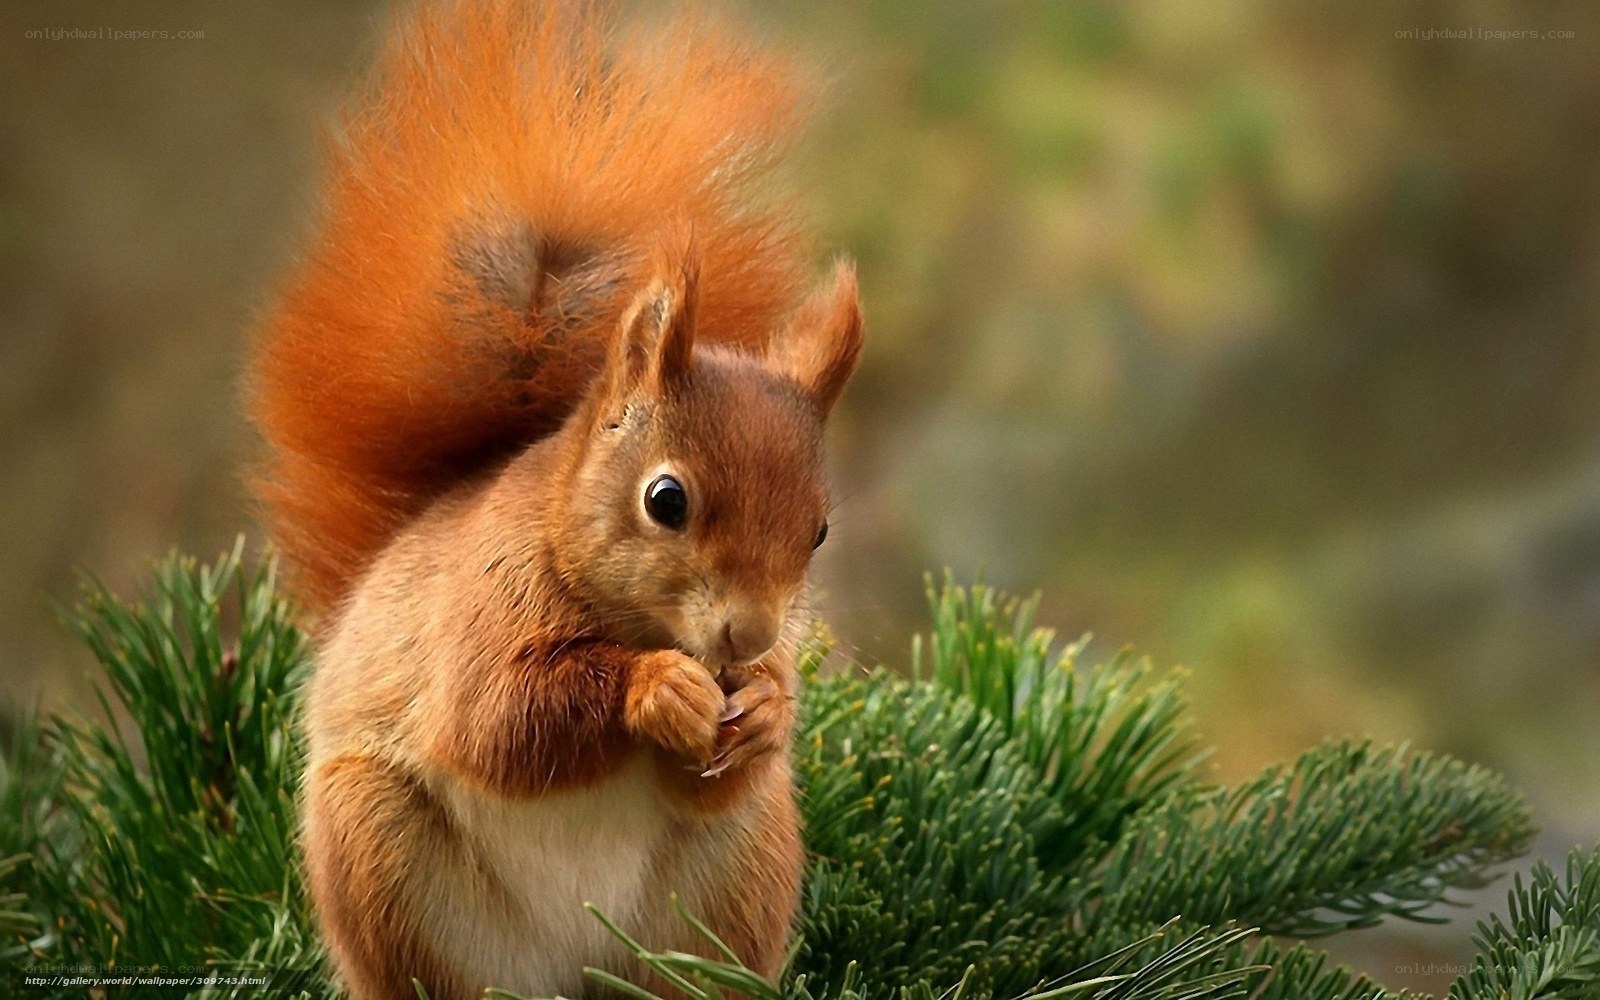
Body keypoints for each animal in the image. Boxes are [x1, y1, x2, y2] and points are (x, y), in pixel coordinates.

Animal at [247, 1, 862, 997]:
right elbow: (499, 719)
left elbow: (722, 766)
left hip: (738, 875)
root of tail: (577, 969)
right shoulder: (481, 611)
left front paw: (769, 710)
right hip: (378, 852)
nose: (750, 637)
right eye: (665, 499)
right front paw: (657, 688)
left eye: (818, 531)